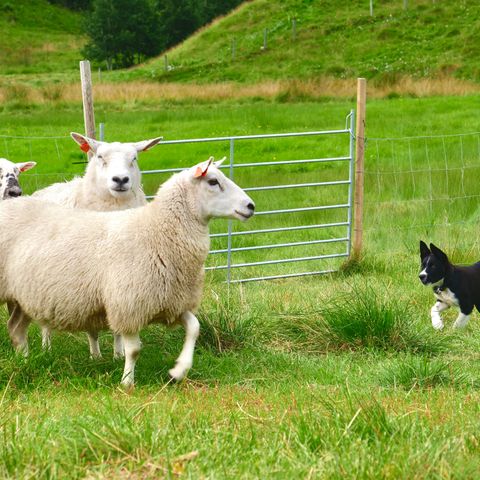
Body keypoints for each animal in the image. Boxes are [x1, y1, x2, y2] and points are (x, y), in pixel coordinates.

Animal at [1, 158, 256, 386]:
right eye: (213, 181)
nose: (250, 206)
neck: (157, 230)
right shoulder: (128, 305)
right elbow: (133, 350)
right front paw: (127, 383)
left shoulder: (171, 300)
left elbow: (194, 328)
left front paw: (179, 370)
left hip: (22, 297)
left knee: (16, 329)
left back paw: (25, 361)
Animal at [32, 131, 163, 356]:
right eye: (100, 157)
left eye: (134, 158)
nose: (120, 179)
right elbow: (91, 327)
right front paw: (96, 356)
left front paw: (118, 354)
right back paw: (46, 348)